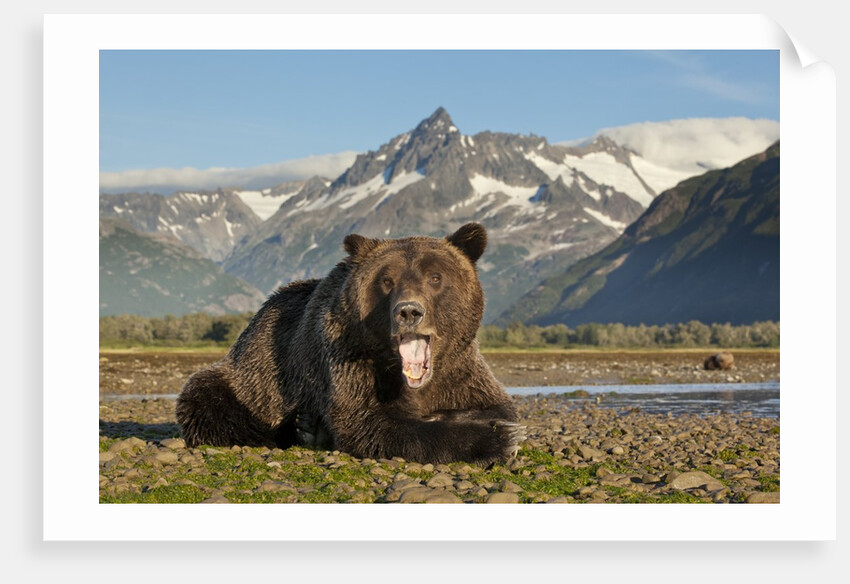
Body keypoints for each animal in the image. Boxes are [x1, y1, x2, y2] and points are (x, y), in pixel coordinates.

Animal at [175, 223, 524, 465]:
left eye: (435, 277)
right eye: (387, 280)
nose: (409, 311)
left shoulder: (461, 370)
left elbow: (497, 404)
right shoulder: (349, 360)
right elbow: (370, 423)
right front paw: (497, 439)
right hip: (250, 377)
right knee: (209, 402)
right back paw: (303, 429)